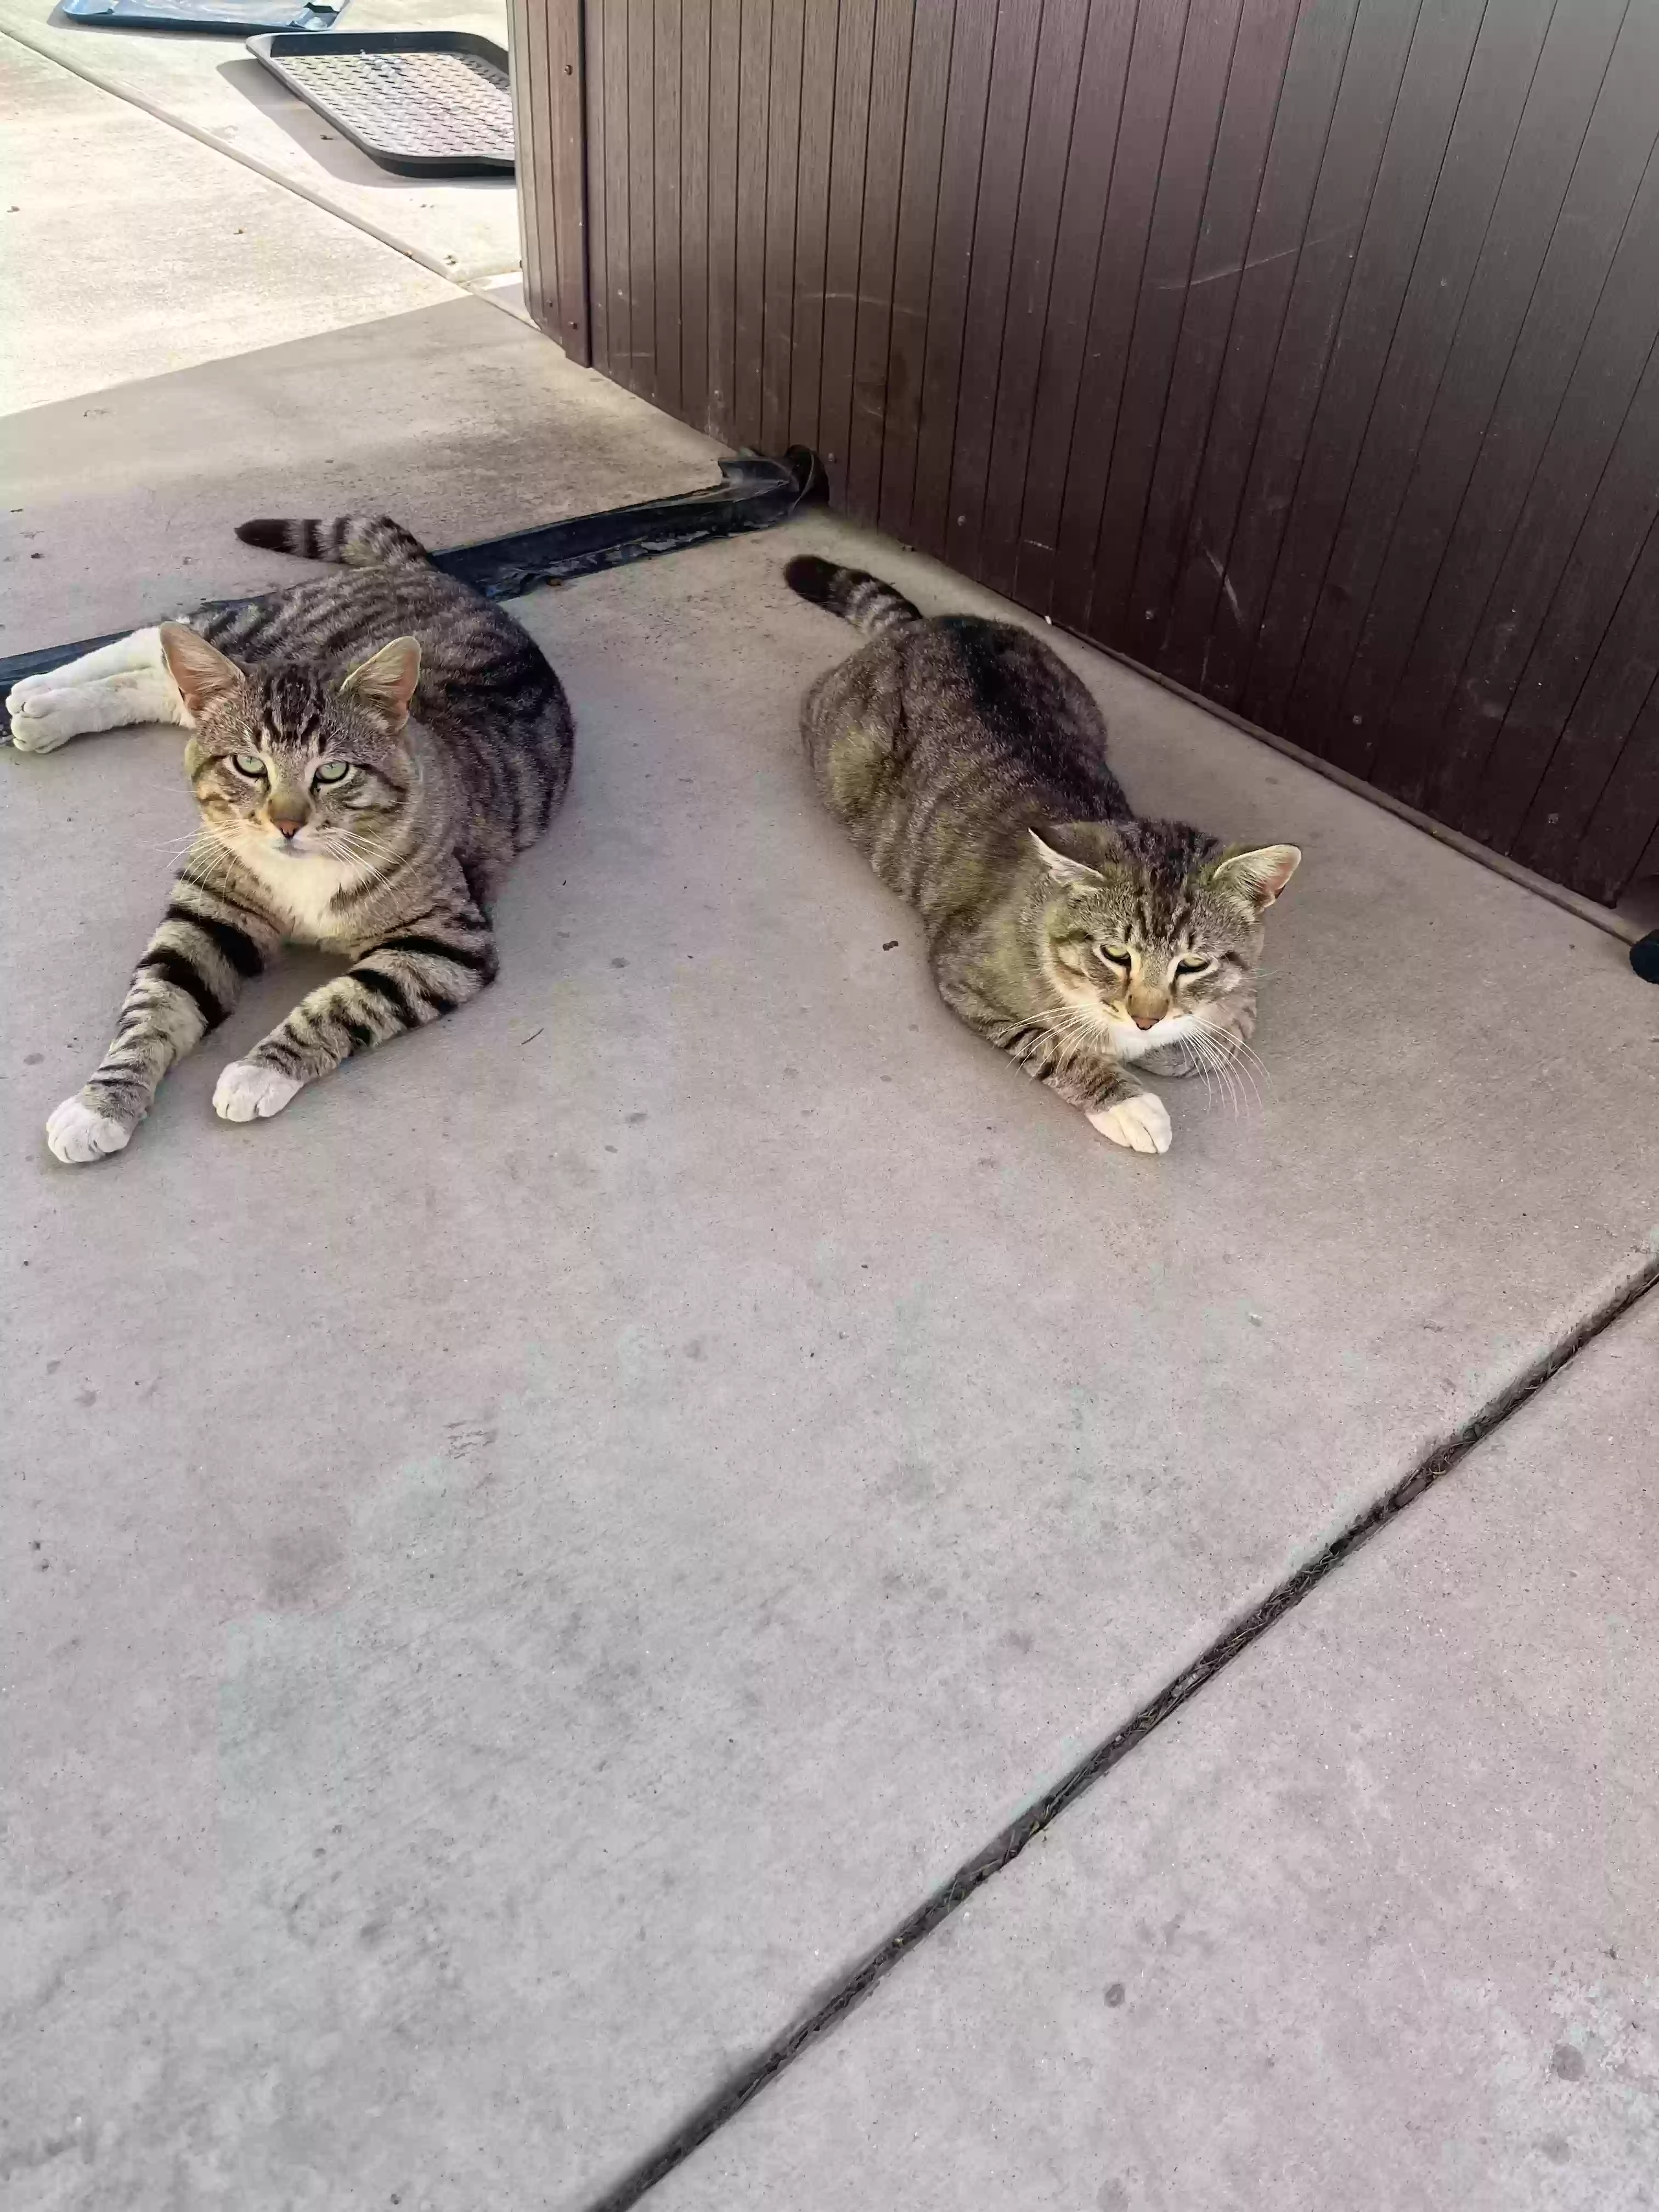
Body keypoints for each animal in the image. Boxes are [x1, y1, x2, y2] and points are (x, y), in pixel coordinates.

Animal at [9, 515, 575, 1167]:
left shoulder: (445, 943)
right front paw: (99, 1104)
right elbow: (154, 1003)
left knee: (155, 679)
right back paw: (37, 687)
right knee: (162, 636)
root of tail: (437, 575)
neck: (305, 870)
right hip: (259, 628)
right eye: (249, 765)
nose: (286, 823)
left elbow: (347, 1001)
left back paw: (43, 710)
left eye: (333, 772)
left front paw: (260, 1072)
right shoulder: (208, 911)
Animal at [787, 557, 1309, 1159]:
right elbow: (1054, 1045)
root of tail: (931, 625)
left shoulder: (1240, 990)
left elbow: (1233, 1028)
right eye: (1115, 955)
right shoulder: (965, 976)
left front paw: (1178, 1044)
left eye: (1194, 964)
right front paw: (1128, 1099)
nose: (1146, 1021)